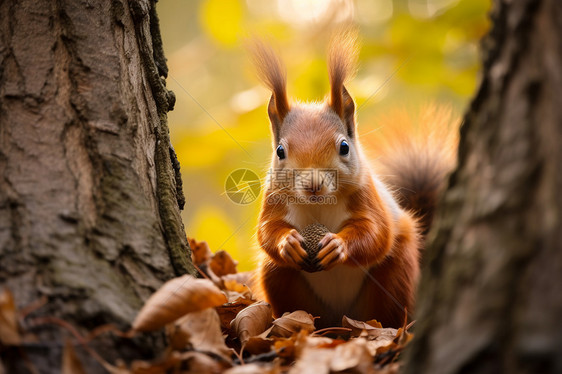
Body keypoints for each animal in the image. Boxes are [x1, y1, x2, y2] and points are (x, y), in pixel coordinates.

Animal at [249, 31, 456, 328]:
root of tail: (340, 318)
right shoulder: (274, 199)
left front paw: (338, 245)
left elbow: (376, 232)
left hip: (395, 275)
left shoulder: (367, 196)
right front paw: (287, 243)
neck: (318, 205)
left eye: (344, 147)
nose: (313, 185)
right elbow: (266, 230)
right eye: (280, 151)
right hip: (279, 277)